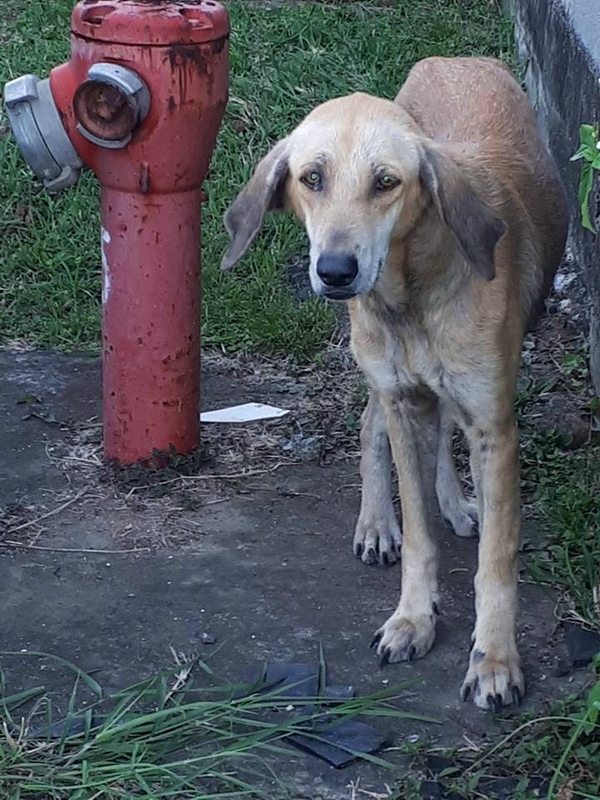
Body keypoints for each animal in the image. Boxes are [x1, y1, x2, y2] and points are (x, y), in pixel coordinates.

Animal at [220, 57, 568, 712]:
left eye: (386, 182)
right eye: (311, 178)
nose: (335, 271)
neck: (411, 296)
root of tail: (453, 60)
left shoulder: (493, 425)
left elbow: (495, 559)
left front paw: (494, 660)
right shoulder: (404, 403)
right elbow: (420, 538)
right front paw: (414, 618)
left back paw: (457, 502)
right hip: (384, 377)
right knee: (370, 425)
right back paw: (379, 524)